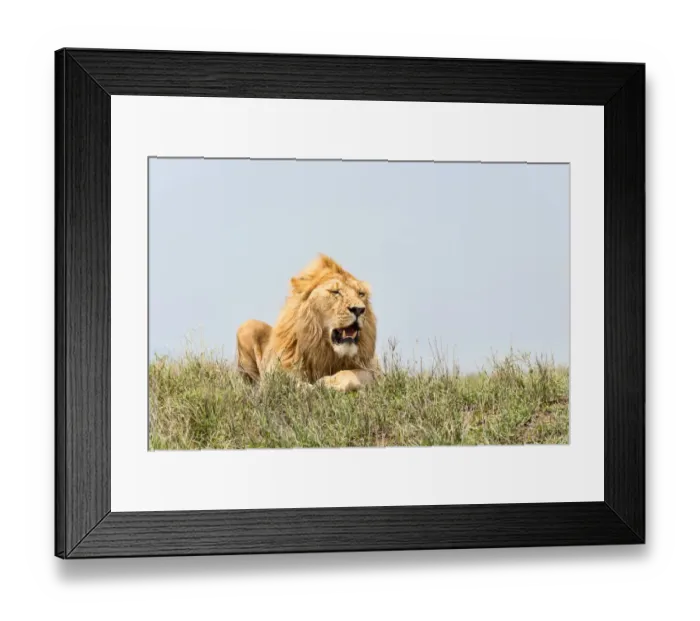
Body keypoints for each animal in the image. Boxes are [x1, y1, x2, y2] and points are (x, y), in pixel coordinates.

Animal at [236, 254, 379, 392]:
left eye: (361, 294)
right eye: (335, 292)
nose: (359, 309)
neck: (324, 348)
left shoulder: (376, 371)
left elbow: (353, 374)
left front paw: (328, 382)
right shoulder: (278, 369)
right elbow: (286, 380)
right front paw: (306, 387)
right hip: (247, 326)